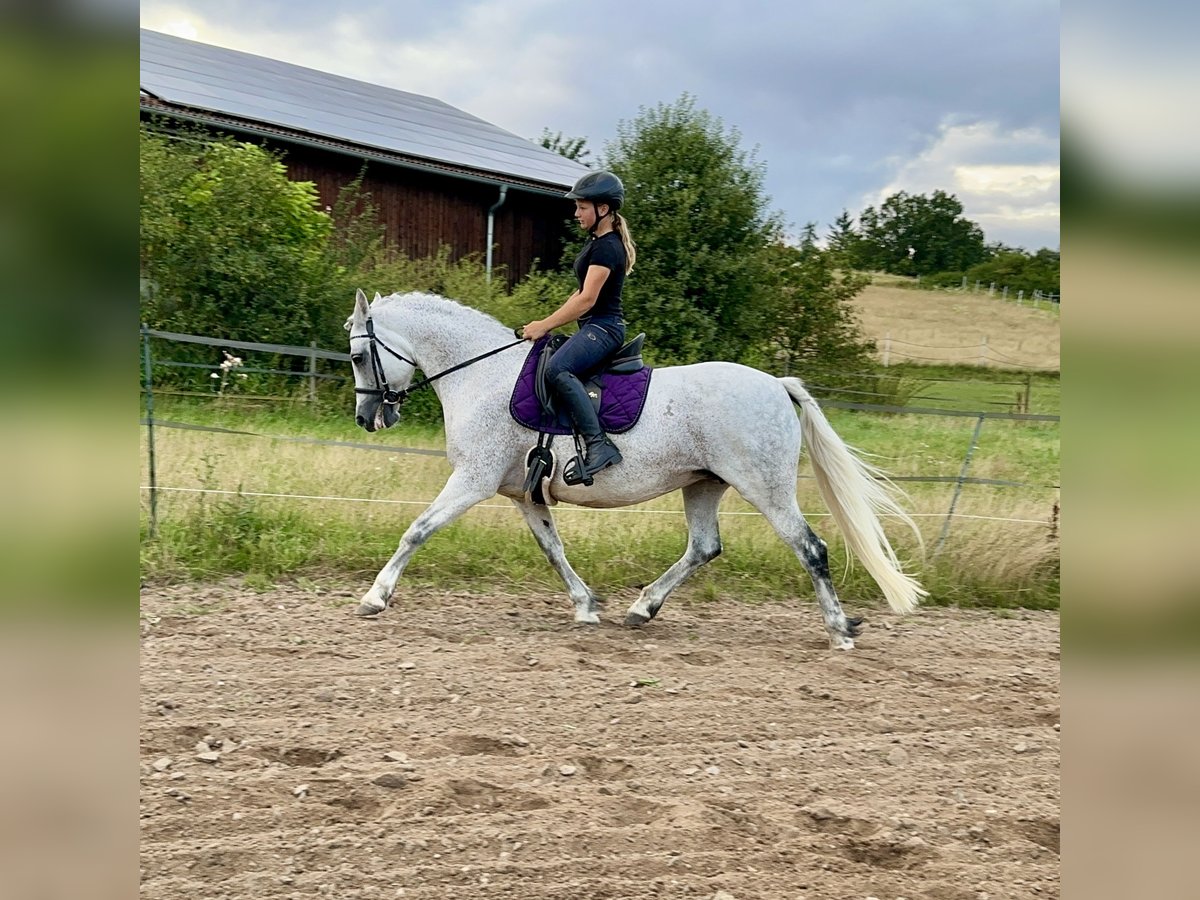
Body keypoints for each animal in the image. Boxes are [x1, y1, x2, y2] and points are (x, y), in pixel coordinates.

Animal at [348, 289, 926, 648]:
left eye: (357, 357)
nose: (368, 417)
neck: (481, 374)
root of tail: (776, 385)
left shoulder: (473, 480)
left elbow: (418, 530)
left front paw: (376, 596)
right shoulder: (524, 494)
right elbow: (553, 549)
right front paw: (586, 606)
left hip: (765, 488)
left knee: (811, 548)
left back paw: (840, 630)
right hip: (705, 486)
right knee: (704, 547)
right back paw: (643, 608)